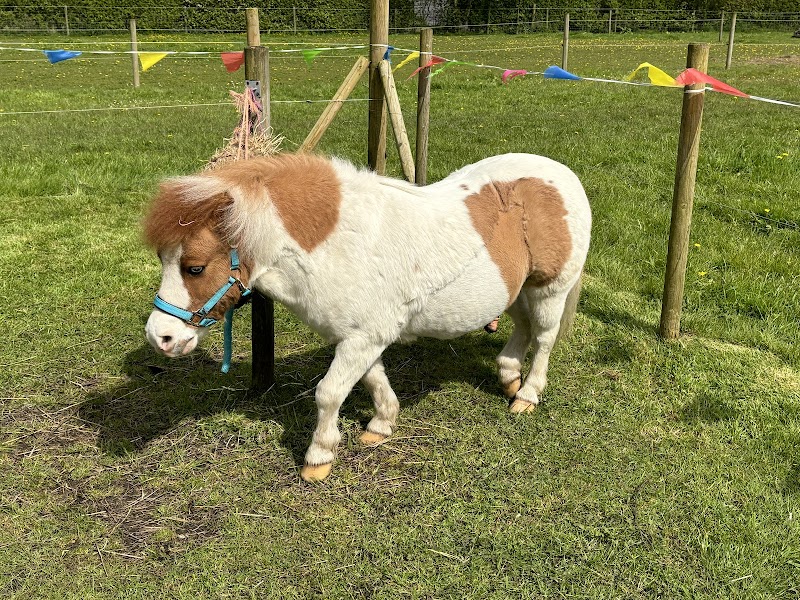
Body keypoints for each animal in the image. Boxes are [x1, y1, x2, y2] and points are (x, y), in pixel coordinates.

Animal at [144, 152, 591, 481]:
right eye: (163, 259)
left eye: (195, 268)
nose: (160, 337)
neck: (337, 244)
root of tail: (562, 174)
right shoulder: (359, 337)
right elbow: (373, 380)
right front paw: (381, 425)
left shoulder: (362, 339)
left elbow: (328, 393)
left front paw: (319, 457)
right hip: (515, 288)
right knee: (523, 327)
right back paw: (508, 375)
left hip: (550, 288)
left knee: (544, 338)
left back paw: (527, 394)